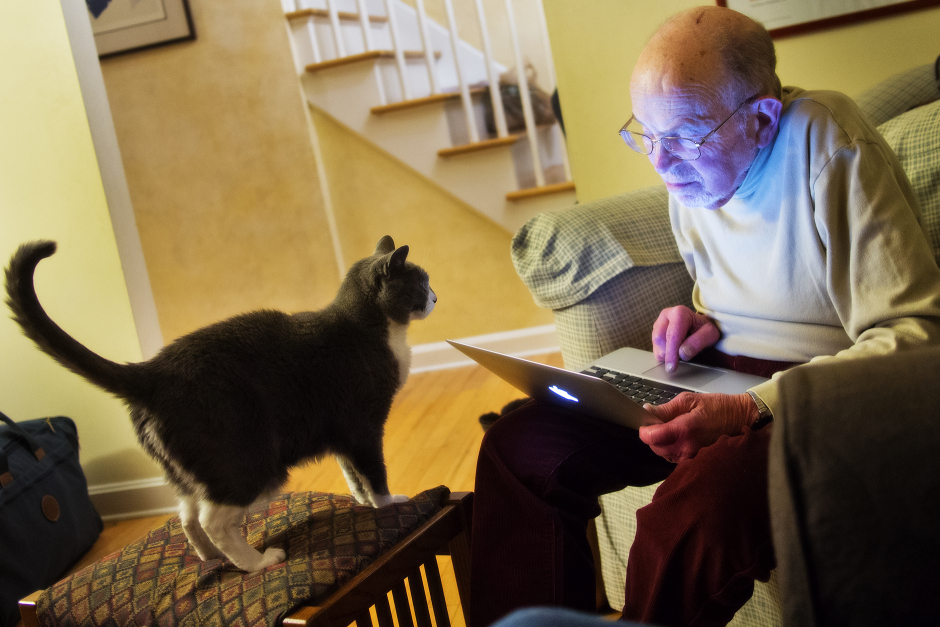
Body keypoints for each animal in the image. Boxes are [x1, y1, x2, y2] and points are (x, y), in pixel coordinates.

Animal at [5, 235, 436, 572]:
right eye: (422, 282)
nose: (435, 296)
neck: (377, 329)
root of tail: (152, 372)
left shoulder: (340, 436)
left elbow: (353, 475)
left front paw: (362, 504)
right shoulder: (364, 428)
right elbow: (374, 474)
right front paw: (390, 505)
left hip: (194, 471)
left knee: (187, 515)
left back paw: (212, 559)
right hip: (252, 466)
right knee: (213, 519)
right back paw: (258, 562)